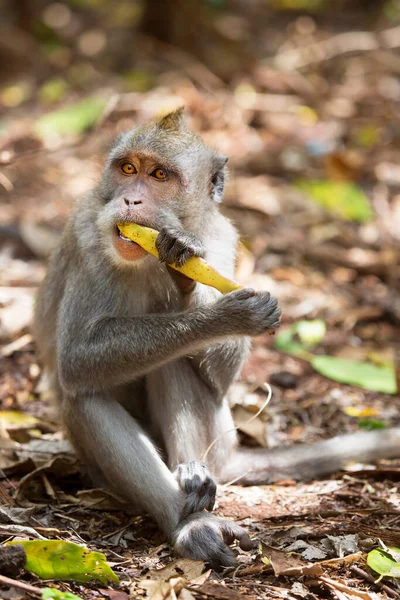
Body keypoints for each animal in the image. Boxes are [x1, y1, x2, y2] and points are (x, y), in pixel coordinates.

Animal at [33, 110, 400, 568]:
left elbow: (219, 378)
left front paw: (182, 264)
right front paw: (228, 315)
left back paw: (193, 476)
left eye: (159, 175)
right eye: (128, 169)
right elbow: (77, 358)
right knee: (87, 396)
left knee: (174, 363)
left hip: (221, 440)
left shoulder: (222, 237)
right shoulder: (86, 231)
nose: (131, 201)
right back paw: (188, 521)